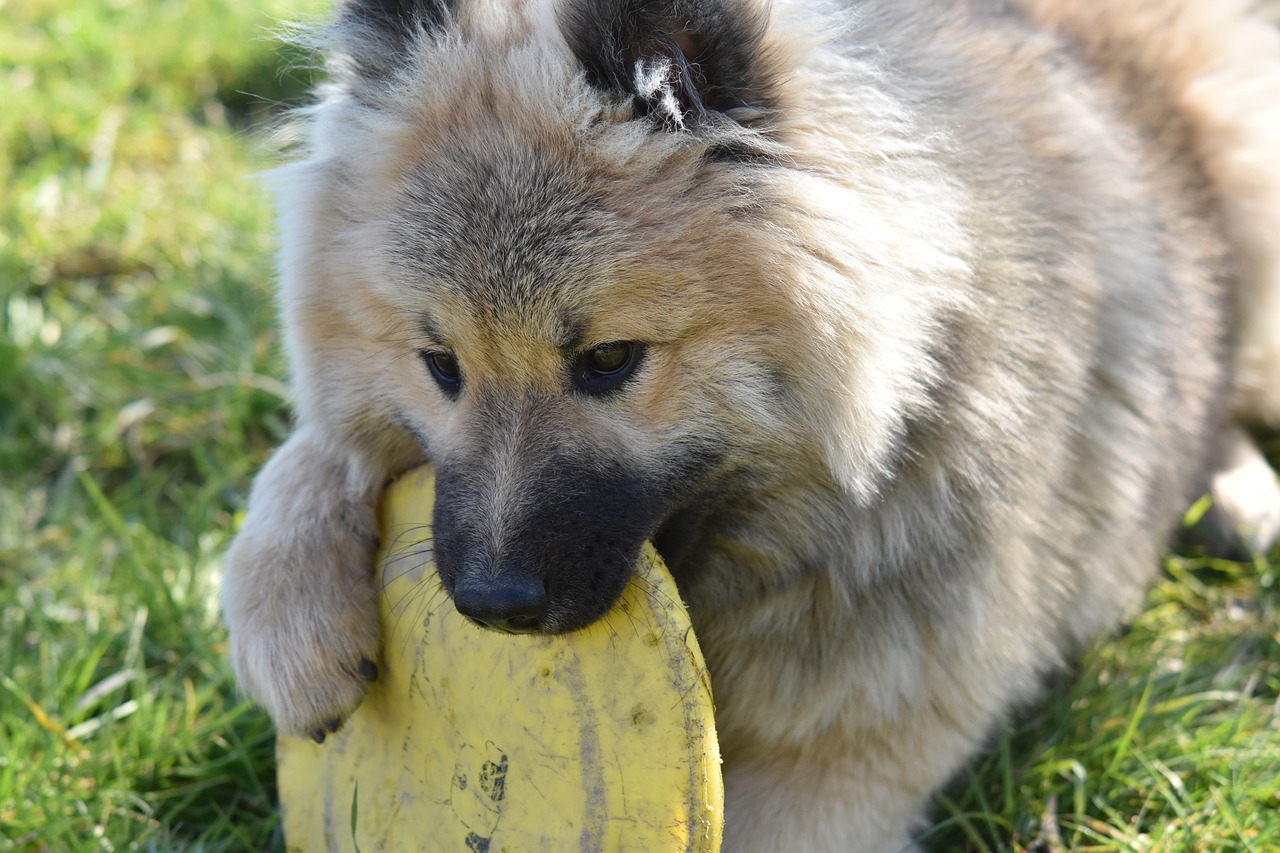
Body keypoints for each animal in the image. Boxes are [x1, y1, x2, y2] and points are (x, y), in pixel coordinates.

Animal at [225, 0, 1280, 845]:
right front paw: (286, 610)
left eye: (609, 361)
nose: (491, 605)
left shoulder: (842, 757)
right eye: (441, 366)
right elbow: (310, 452)